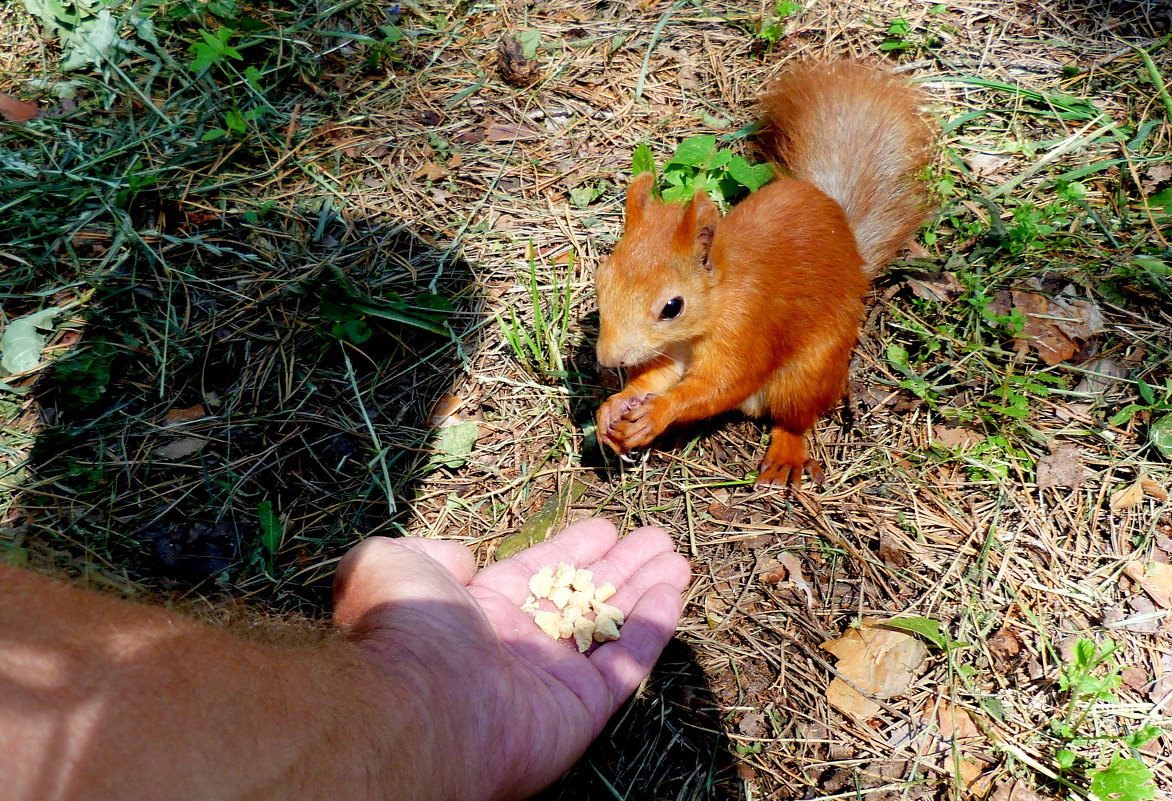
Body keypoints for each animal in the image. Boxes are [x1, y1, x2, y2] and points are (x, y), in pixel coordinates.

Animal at [595, 59, 932, 485]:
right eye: (601, 281)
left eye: (672, 307)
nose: (608, 360)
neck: (718, 300)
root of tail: (853, 254)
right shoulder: (672, 350)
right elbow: (657, 376)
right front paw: (617, 403)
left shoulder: (746, 327)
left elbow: (720, 385)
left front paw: (657, 412)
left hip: (807, 373)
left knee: (795, 419)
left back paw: (786, 452)